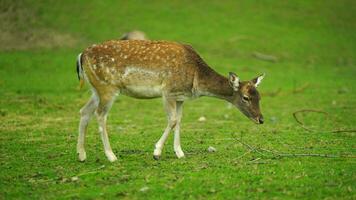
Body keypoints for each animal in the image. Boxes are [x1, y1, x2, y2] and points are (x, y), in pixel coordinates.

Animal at [76, 39, 264, 162]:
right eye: (246, 98)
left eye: (259, 96)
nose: (261, 119)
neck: (196, 80)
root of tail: (81, 55)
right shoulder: (168, 92)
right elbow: (172, 120)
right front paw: (157, 152)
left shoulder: (180, 97)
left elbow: (179, 121)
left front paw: (180, 153)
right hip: (107, 88)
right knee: (100, 115)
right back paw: (111, 156)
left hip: (96, 89)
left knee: (84, 111)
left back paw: (81, 155)